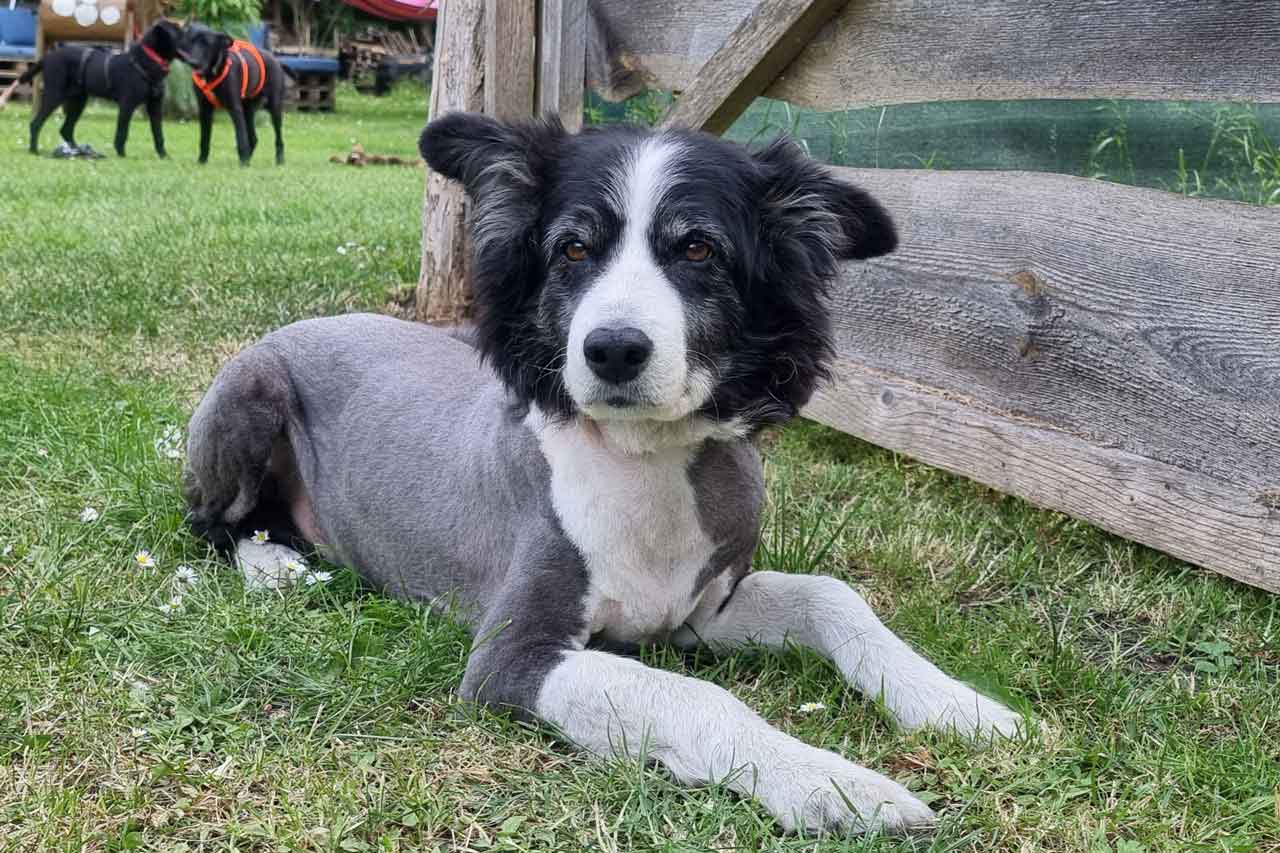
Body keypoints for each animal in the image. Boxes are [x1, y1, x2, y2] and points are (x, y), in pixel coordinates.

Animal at [177, 25, 290, 166]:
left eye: (207, 44)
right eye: (191, 41)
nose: (193, 62)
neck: (213, 73)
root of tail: (275, 59)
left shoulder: (235, 108)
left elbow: (240, 137)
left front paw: (243, 164)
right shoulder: (204, 109)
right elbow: (204, 139)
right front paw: (202, 161)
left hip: (274, 107)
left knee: (278, 138)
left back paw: (279, 160)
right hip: (248, 110)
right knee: (253, 138)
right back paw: (248, 159)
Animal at [183, 109, 1018, 835]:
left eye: (698, 249)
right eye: (574, 250)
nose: (613, 348)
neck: (642, 456)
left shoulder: (700, 613)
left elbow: (833, 595)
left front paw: (957, 704)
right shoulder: (509, 658)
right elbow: (696, 697)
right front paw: (831, 784)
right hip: (247, 396)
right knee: (211, 524)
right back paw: (274, 564)